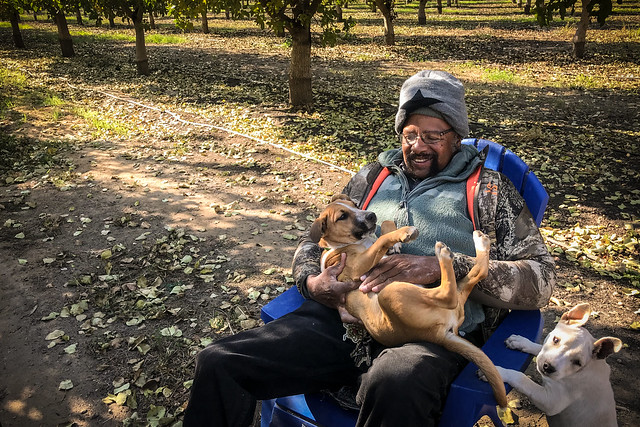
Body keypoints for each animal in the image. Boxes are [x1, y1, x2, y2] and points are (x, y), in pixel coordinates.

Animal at [312, 196, 510, 410]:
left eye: (355, 206)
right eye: (342, 217)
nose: (371, 215)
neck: (340, 247)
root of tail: (440, 335)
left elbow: (384, 228)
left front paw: (394, 241)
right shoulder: (357, 267)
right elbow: (380, 240)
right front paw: (402, 233)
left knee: (477, 273)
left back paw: (479, 243)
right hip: (390, 292)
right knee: (448, 294)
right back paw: (444, 254)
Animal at [492, 304, 624, 427]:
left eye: (578, 362)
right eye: (555, 340)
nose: (548, 367)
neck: (583, 370)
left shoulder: (552, 402)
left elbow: (521, 379)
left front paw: (498, 373)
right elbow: (539, 348)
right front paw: (519, 342)